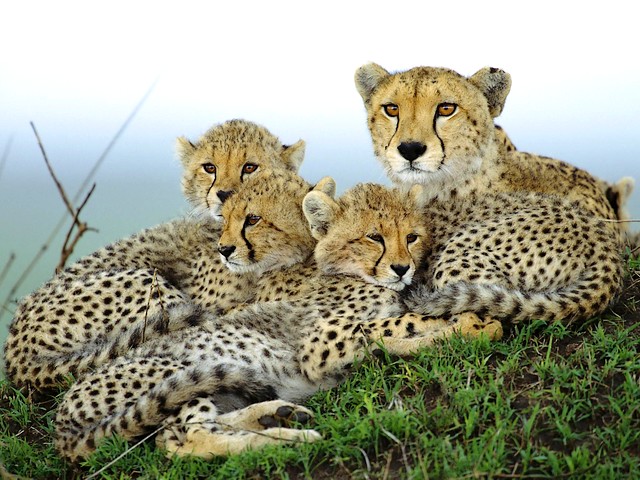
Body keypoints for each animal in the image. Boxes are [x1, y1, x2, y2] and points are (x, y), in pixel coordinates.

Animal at [55, 175, 502, 462]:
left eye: (411, 236)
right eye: (374, 237)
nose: (402, 268)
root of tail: (62, 415)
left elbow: (395, 327)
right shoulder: (319, 345)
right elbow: (395, 324)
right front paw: (470, 325)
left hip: (216, 387)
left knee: (186, 435)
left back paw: (276, 415)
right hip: (177, 373)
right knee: (192, 439)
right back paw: (290, 440)